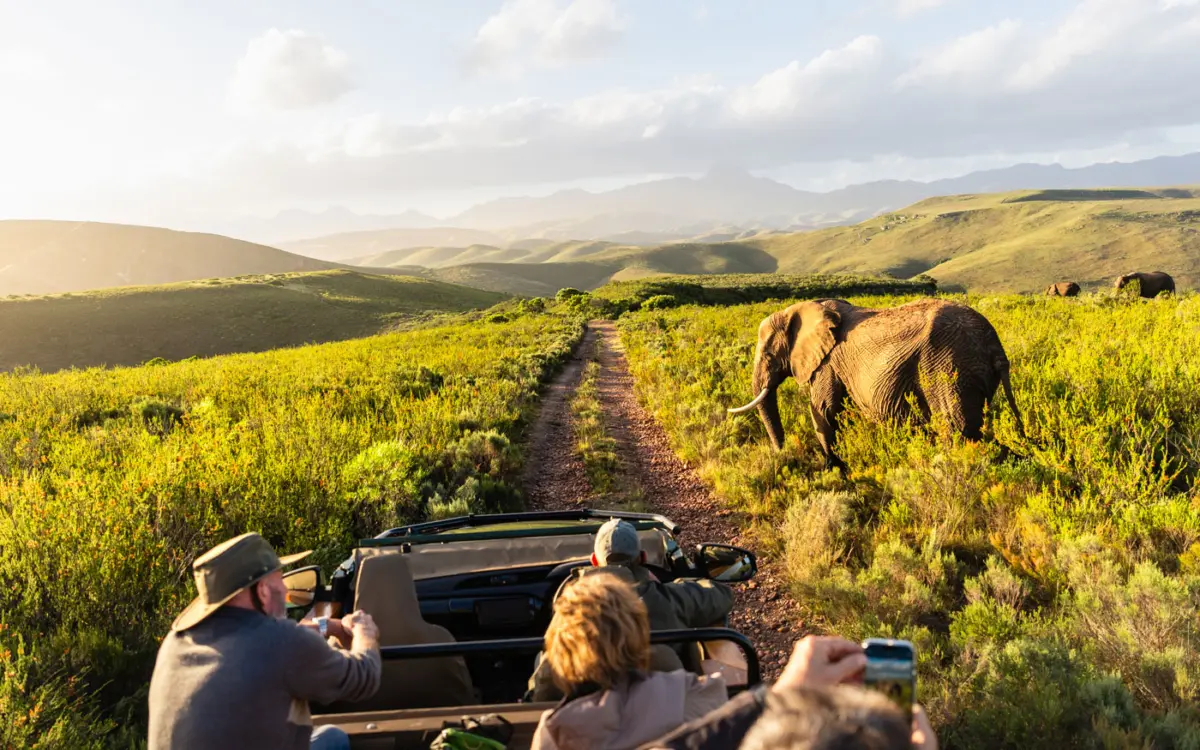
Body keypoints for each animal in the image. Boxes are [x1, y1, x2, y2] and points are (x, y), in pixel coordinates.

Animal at [724, 296, 1027, 468]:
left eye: (767, 353)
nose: (783, 457)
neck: (803, 309)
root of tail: (995, 346)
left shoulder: (827, 363)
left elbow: (823, 411)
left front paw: (834, 471)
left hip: (949, 369)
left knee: (957, 429)